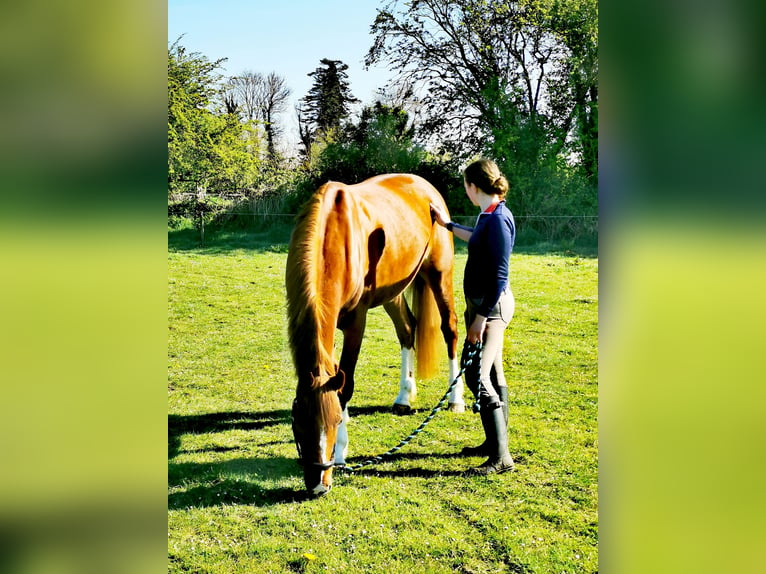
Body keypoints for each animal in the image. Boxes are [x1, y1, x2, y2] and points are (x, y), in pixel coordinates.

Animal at [286, 173, 464, 498]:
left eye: (332, 424)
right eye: (298, 423)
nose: (318, 486)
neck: (333, 239)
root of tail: (425, 187)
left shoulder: (356, 322)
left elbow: (345, 385)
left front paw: (341, 452)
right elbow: (336, 376)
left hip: (439, 274)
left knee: (450, 330)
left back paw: (456, 399)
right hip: (393, 291)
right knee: (407, 329)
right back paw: (404, 396)